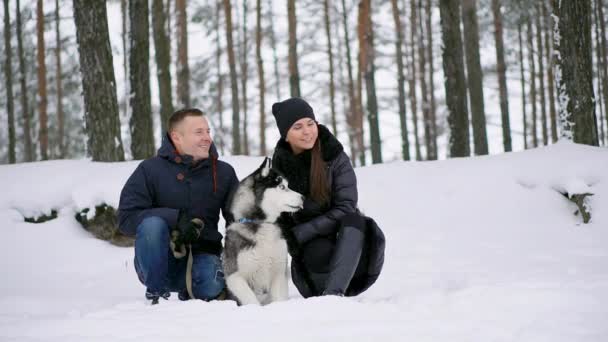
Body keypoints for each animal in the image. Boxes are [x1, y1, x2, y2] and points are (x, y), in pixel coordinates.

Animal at [223, 157, 304, 304]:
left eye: (287, 185)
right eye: (282, 187)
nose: (303, 198)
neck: (262, 224)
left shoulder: (278, 272)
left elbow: (279, 299)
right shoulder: (234, 277)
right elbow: (251, 300)